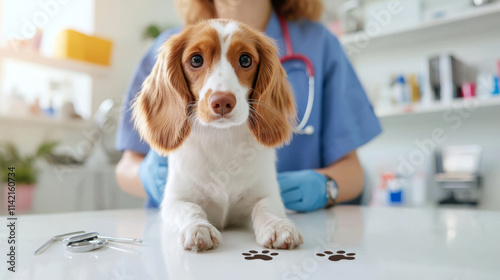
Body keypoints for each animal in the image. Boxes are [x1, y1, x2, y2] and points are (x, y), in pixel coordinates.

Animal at [133, 19, 302, 252]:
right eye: (196, 60)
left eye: (245, 59)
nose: (222, 101)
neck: (221, 138)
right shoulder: (174, 200)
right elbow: (189, 208)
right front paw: (198, 228)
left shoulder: (267, 192)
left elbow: (265, 205)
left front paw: (277, 226)